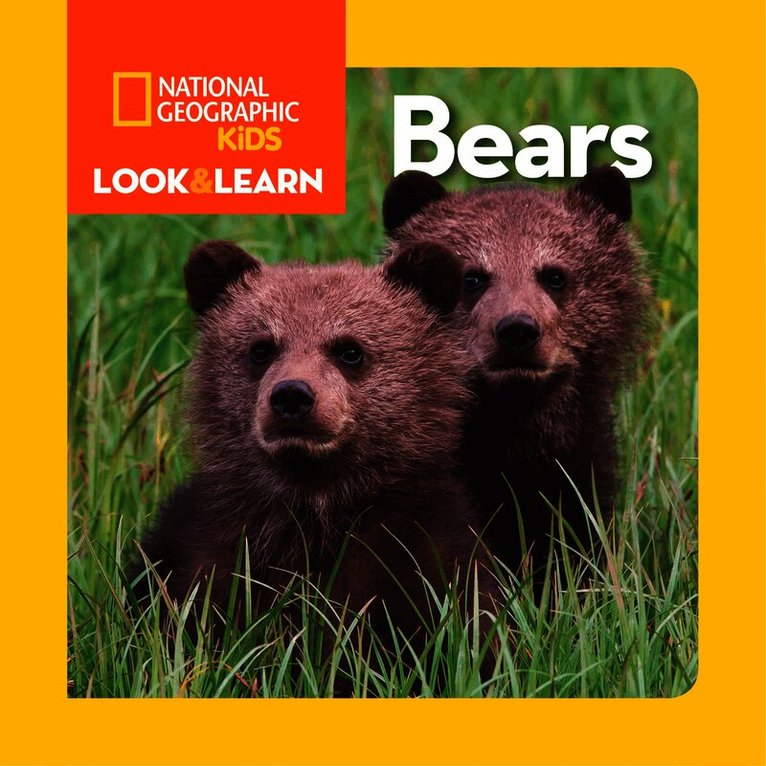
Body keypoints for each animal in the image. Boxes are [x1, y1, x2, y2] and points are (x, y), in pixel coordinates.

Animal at [135, 239, 497, 663]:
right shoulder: (203, 552)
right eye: (261, 349)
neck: (316, 503)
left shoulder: (423, 549)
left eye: (350, 349)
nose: (292, 395)